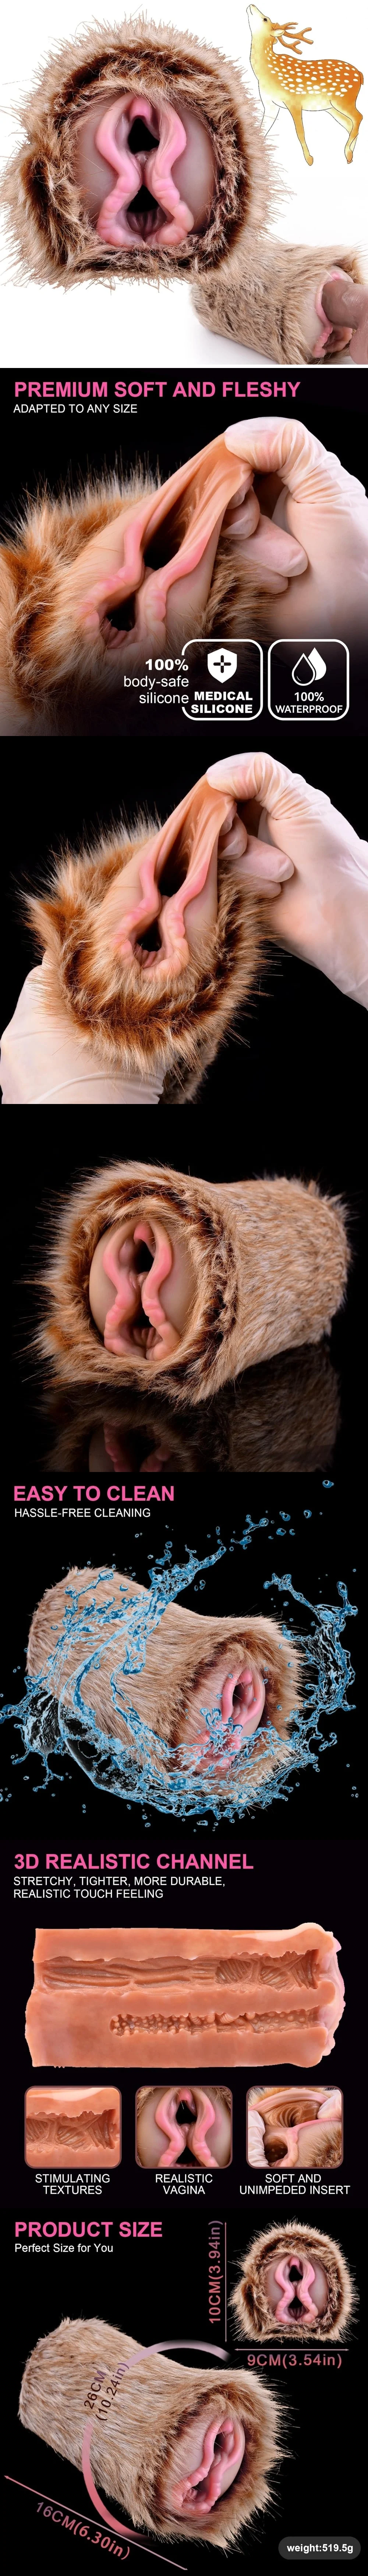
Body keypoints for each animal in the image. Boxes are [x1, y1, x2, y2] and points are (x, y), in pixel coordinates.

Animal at [247, 9, 363, 163]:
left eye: (265, 19)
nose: (251, 6)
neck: (267, 74)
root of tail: (360, 75)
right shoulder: (269, 104)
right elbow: (263, 129)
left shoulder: (294, 101)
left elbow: (300, 131)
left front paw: (309, 159)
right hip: (332, 108)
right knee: (350, 124)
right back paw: (350, 155)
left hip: (344, 99)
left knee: (358, 117)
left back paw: (348, 153)